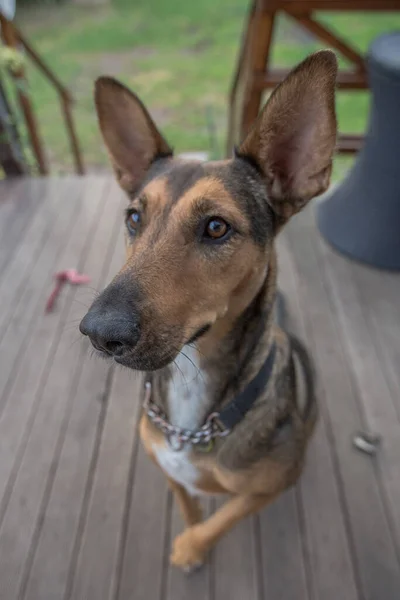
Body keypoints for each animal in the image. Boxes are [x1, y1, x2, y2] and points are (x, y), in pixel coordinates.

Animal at [80, 50, 338, 572]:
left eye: (217, 227)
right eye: (133, 217)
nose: (98, 332)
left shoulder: (273, 485)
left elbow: (224, 518)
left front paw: (192, 547)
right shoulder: (164, 460)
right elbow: (187, 498)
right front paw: (192, 523)